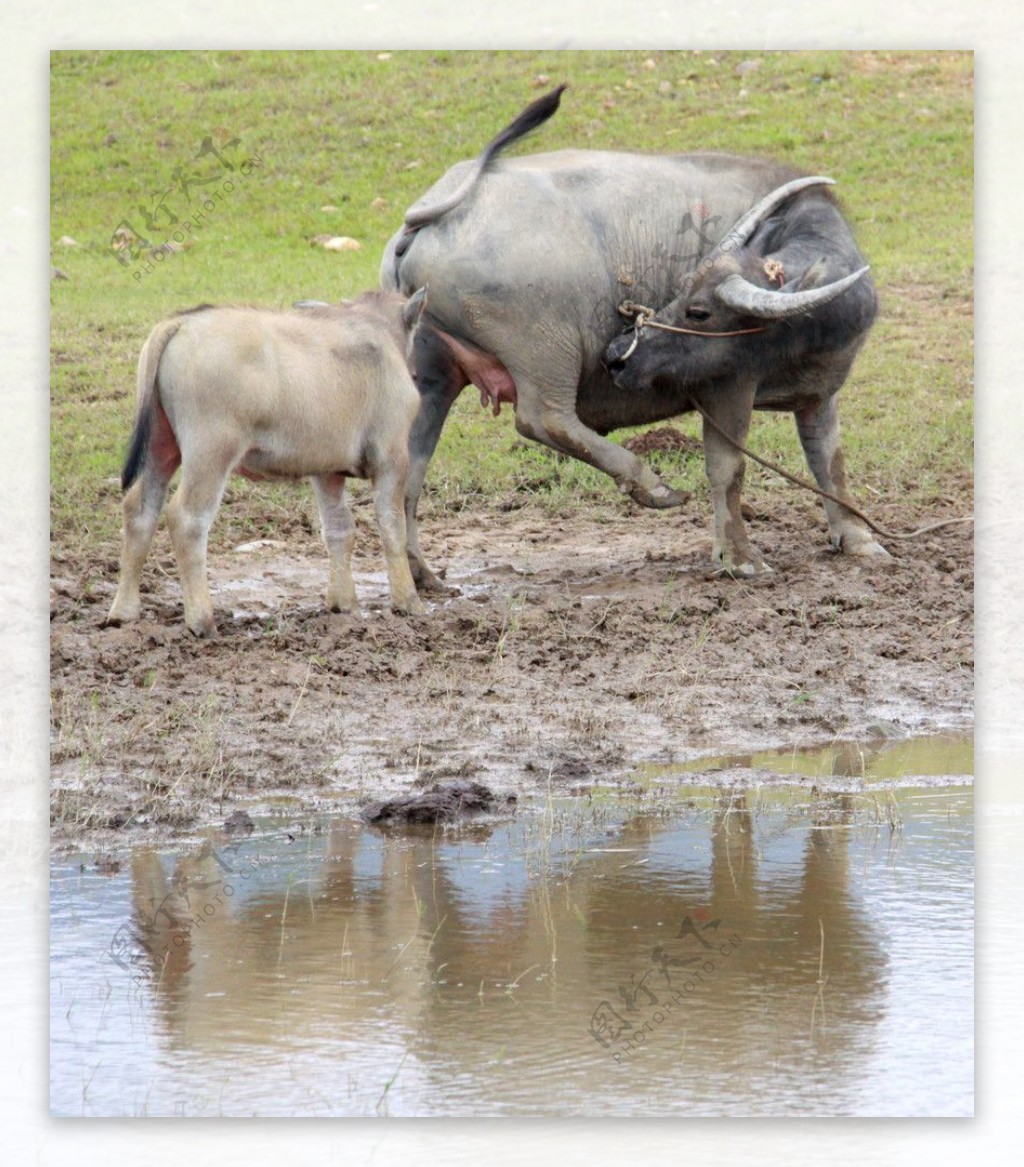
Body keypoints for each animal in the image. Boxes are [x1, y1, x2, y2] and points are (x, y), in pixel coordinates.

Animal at [109, 291, 429, 639]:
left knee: (139, 511)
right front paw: (408, 602)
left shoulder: (327, 473)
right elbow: (392, 527)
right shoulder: (391, 461)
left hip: (160, 450)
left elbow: (339, 530)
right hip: (210, 454)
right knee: (187, 518)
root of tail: (182, 322)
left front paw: (343, 604)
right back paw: (202, 619)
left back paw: (124, 612)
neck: (375, 331)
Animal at [380, 84, 882, 583]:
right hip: (545, 353)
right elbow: (729, 469)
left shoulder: (820, 394)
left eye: (696, 309)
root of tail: (429, 215)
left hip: (433, 374)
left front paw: (858, 538)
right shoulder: (727, 388)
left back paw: (421, 571)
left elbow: (829, 462)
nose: (617, 353)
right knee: (544, 419)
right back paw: (652, 486)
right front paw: (740, 558)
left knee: (411, 467)